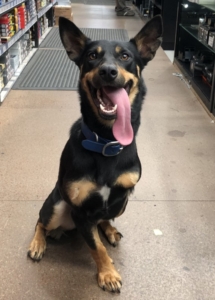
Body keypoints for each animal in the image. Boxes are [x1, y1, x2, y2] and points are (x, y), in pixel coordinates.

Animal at [28, 15, 163, 292]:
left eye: (125, 56)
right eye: (92, 56)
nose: (108, 71)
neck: (106, 142)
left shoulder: (122, 194)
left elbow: (106, 214)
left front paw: (107, 235)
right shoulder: (79, 210)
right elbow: (96, 247)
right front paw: (108, 273)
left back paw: (109, 229)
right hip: (56, 205)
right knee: (40, 221)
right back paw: (38, 243)